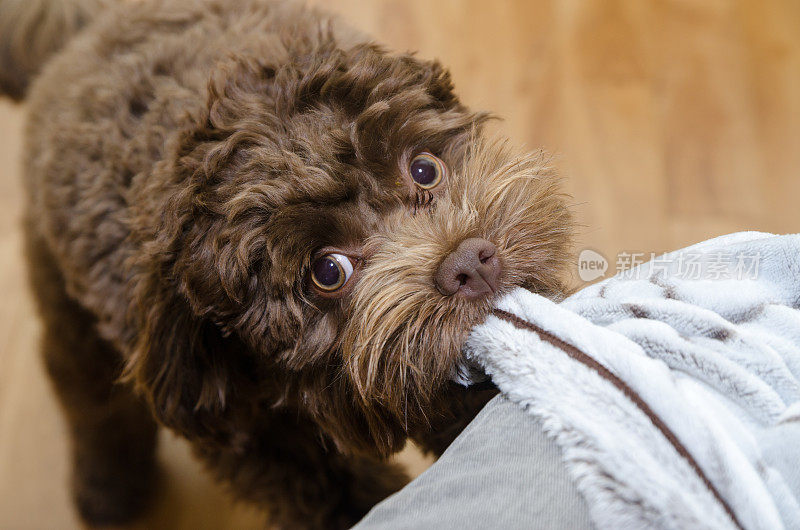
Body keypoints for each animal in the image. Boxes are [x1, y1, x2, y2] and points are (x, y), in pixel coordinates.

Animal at [1, 0, 576, 524]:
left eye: (424, 169)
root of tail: (87, 24)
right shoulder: (261, 441)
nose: (469, 264)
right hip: (68, 308)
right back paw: (107, 491)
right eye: (328, 273)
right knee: (88, 397)